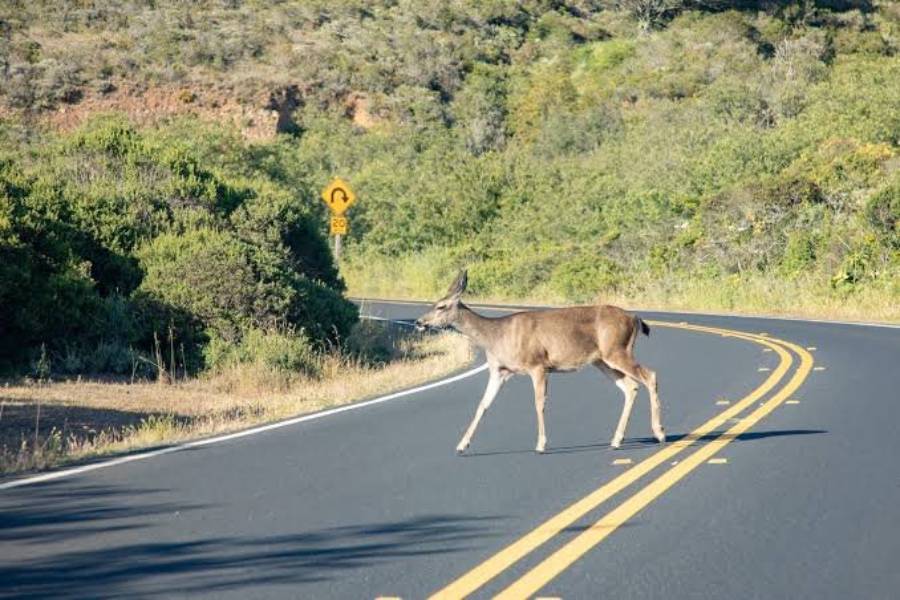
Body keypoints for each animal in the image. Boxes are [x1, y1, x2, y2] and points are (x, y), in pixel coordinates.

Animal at [414, 270, 664, 454]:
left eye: (441, 306)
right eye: (434, 303)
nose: (419, 322)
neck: (495, 336)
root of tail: (634, 318)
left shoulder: (537, 365)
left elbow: (538, 403)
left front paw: (541, 444)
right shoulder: (499, 371)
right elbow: (483, 405)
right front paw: (461, 445)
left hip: (617, 350)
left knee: (650, 375)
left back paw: (659, 432)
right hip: (602, 360)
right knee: (631, 386)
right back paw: (616, 440)